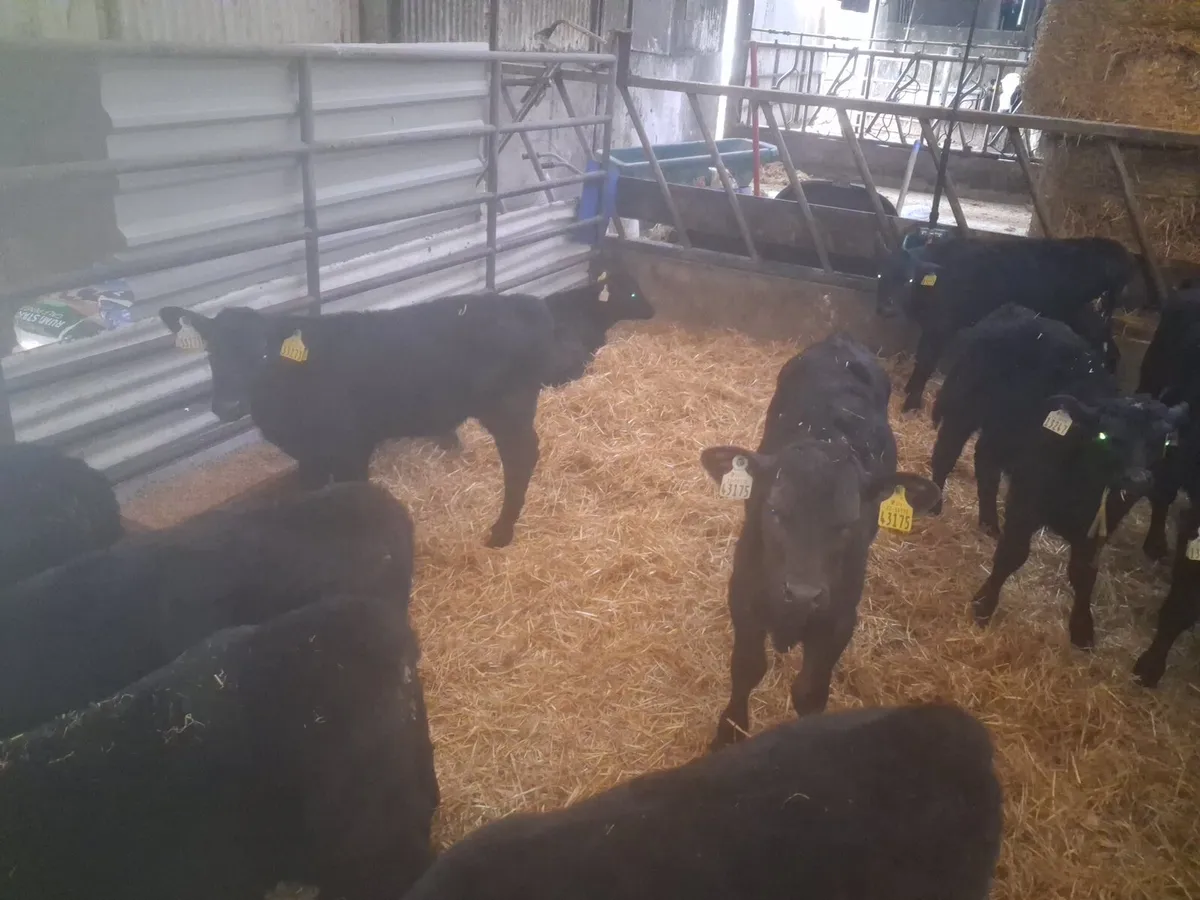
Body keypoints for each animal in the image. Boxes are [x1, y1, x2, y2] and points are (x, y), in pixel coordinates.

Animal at [161, 289, 557, 547]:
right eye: (211, 351)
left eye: (261, 353)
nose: (228, 405)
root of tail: (524, 303)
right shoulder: (310, 457)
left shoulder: (351, 447)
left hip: (509, 407)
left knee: (521, 458)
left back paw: (501, 532)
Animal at [700, 334, 940, 748]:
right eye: (774, 511)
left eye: (849, 522)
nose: (802, 594)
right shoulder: (743, 595)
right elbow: (747, 668)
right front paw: (729, 732)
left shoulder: (839, 617)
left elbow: (810, 692)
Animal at [877, 235, 1133, 411]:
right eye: (880, 275)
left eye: (909, 280)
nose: (886, 308)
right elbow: (921, 358)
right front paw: (910, 390)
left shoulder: (940, 327)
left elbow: (926, 362)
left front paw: (912, 403)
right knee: (1109, 349)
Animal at [932, 307, 1187, 647]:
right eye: (1106, 437)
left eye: (1161, 443)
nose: (1137, 479)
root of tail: (1017, 311)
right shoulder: (1026, 500)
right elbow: (1013, 554)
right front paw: (984, 605)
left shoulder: (1101, 523)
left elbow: (1084, 572)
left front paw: (1082, 628)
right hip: (963, 408)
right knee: (946, 454)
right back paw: (935, 503)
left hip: (1001, 433)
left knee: (985, 463)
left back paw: (989, 522)